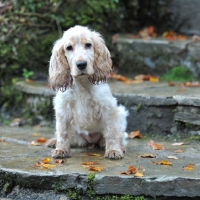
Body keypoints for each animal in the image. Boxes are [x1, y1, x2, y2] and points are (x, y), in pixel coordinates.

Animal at [45, 25, 128, 159]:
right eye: (69, 48)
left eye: (88, 45)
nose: (81, 64)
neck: (82, 82)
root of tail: (90, 142)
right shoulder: (62, 109)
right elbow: (63, 132)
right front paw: (60, 150)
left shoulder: (108, 108)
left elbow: (112, 132)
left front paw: (114, 151)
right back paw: (53, 141)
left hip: (121, 113)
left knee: (120, 135)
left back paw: (121, 147)